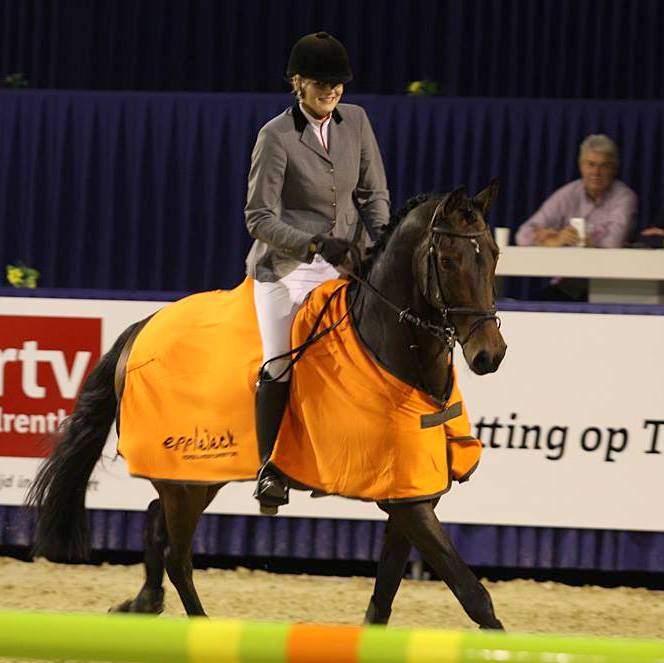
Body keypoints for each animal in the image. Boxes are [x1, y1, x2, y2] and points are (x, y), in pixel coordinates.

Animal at [23, 182, 506, 628]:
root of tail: (143, 326)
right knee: (178, 555)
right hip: (186, 476)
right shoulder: (405, 502)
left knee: (156, 521)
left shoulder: (410, 490)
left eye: (495, 255)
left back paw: (143, 603)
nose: (490, 355)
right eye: (447, 260)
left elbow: (384, 596)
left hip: (197, 475)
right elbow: (472, 593)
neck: (391, 353)